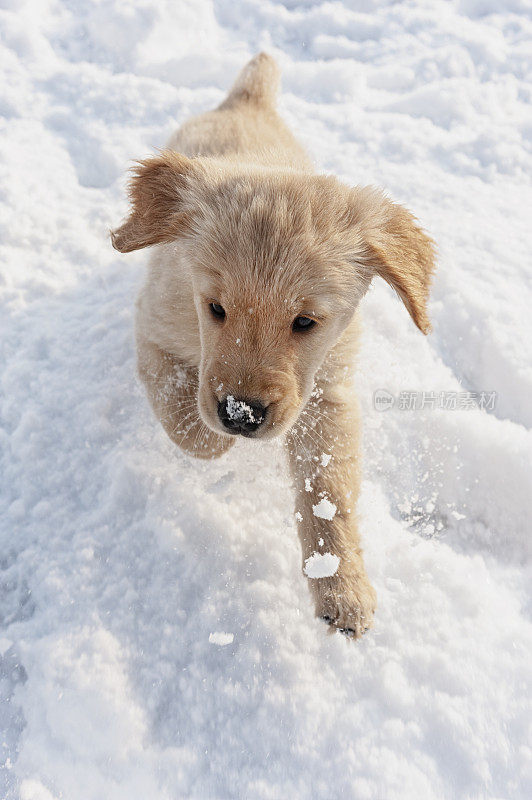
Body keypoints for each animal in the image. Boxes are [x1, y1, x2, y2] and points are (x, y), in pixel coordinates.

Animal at [110, 51, 434, 636]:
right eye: (215, 308)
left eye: (305, 321)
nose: (241, 414)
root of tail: (248, 99)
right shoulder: (154, 334)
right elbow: (189, 425)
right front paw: (217, 440)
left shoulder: (328, 390)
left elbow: (329, 492)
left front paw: (342, 587)